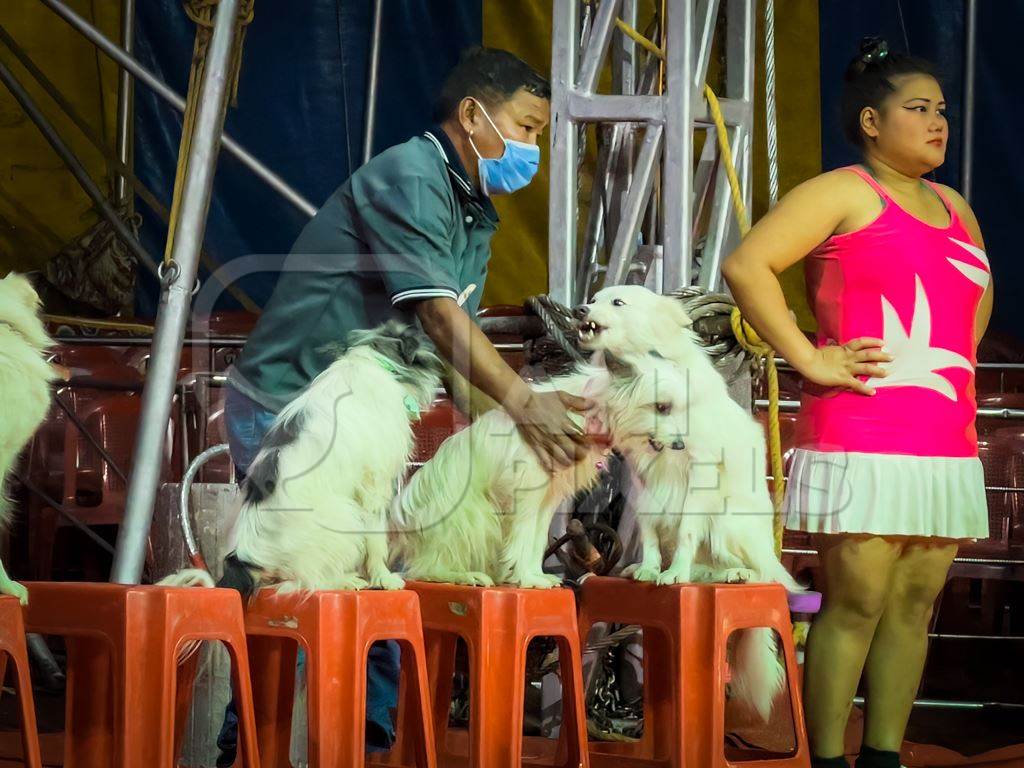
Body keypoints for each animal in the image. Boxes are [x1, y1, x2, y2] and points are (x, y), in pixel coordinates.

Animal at [165, 321, 442, 598]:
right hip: (342, 514)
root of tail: (245, 560)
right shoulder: (374, 484)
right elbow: (376, 538)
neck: (377, 360)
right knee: (311, 581)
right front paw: (384, 578)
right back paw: (344, 581)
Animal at [391, 354, 688, 589]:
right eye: (662, 407)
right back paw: (462, 575)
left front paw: (536, 575)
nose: (680, 445)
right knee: (423, 568)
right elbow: (523, 538)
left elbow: (536, 540)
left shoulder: (548, 498)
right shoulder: (526, 495)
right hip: (475, 515)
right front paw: (526, 578)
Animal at [577, 284, 798, 720]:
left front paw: (673, 573)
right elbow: (649, 535)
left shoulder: (698, 477)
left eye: (617, 302)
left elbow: (684, 534)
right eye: (594, 299)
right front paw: (649, 568)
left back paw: (734, 575)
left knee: (758, 571)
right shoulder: (643, 480)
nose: (579, 309)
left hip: (727, 521)